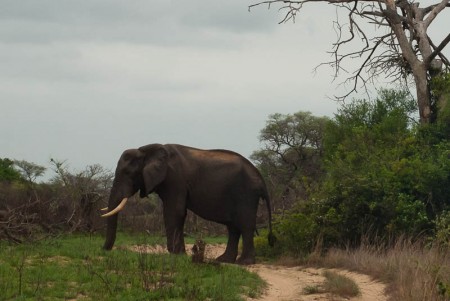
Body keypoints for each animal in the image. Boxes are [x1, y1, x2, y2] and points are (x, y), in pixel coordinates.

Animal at [101, 143, 274, 262]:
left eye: (128, 173)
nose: (104, 250)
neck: (146, 150)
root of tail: (261, 179)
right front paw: (180, 254)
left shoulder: (174, 179)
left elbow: (174, 211)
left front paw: (176, 254)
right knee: (233, 227)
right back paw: (224, 260)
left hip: (246, 194)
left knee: (245, 225)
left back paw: (244, 263)